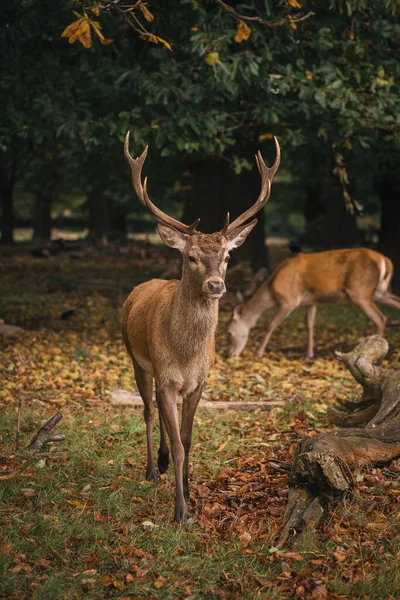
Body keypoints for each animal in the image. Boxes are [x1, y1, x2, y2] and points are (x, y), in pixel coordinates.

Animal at [122, 132, 282, 520]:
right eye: (191, 256)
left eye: (226, 256)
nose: (215, 284)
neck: (185, 354)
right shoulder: (166, 378)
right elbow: (178, 441)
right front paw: (180, 511)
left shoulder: (199, 382)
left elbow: (188, 440)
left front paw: (190, 494)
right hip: (135, 358)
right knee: (147, 412)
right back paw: (152, 469)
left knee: (165, 422)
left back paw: (164, 465)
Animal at [228, 247, 400, 358]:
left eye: (228, 332)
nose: (230, 355)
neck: (272, 290)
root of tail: (385, 260)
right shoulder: (310, 302)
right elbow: (310, 324)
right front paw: (309, 354)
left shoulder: (289, 300)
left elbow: (272, 324)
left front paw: (258, 353)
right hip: (380, 292)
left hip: (360, 291)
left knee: (380, 318)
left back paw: (376, 354)